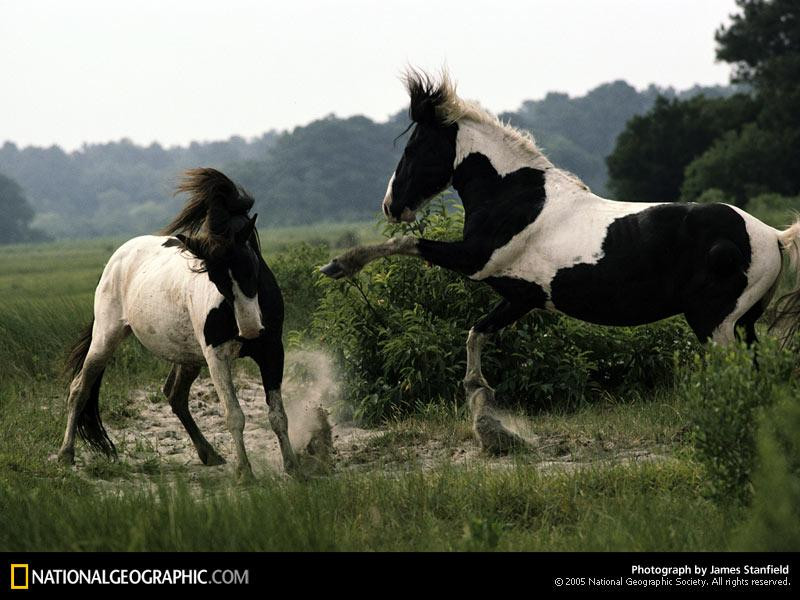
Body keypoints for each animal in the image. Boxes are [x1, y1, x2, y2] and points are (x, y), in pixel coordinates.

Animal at [57, 168, 296, 478]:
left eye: (251, 266)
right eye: (216, 278)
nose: (250, 328)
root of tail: (118, 257)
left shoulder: (272, 352)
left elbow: (278, 415)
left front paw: (295, 467)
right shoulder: (217, 356)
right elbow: (234, 415)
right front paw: (245, 473)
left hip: (188, 356)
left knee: (175, 396)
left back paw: (209, 453)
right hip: (105, 338)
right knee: (79, 389)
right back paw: (65, 454)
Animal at [322, 70, 800, 454]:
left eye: (415, 147)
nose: (391, 205)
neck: (515, 196)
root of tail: (773, 237)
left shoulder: (475, 260)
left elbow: (409, 243)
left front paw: (339, 265)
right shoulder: (519, 296)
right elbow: (477, 332)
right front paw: (486, 415)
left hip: (715, 325)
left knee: (739, 381)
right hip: (745, 325)